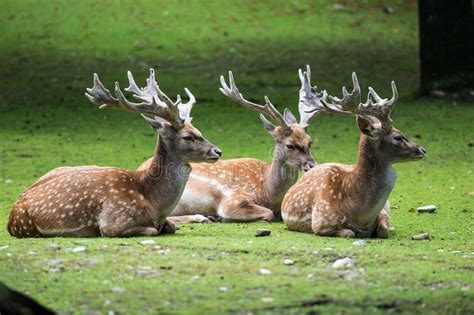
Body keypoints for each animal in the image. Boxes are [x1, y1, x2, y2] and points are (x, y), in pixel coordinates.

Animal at [6, 68, 222, 237]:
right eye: (187, 137)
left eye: (199, 131)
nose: (217, 151)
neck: (153, 203)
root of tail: (10, 220)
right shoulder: (113, 222)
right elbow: (152, 230)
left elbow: (171, 226)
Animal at [140, 66, 326, 225]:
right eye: (290, 145)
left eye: (309, 141)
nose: (312, 165)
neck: (268, 191)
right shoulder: (233, 200)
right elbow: (267, 214)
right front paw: (223, 217)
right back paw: (204, 217)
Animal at [280, 72, 428, 239]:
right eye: (397, 137)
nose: (422, 150)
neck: (358, 214)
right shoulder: (321, 221)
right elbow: (349, 232)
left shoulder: (383, 212)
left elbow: (383, 230)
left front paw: (387, 228)